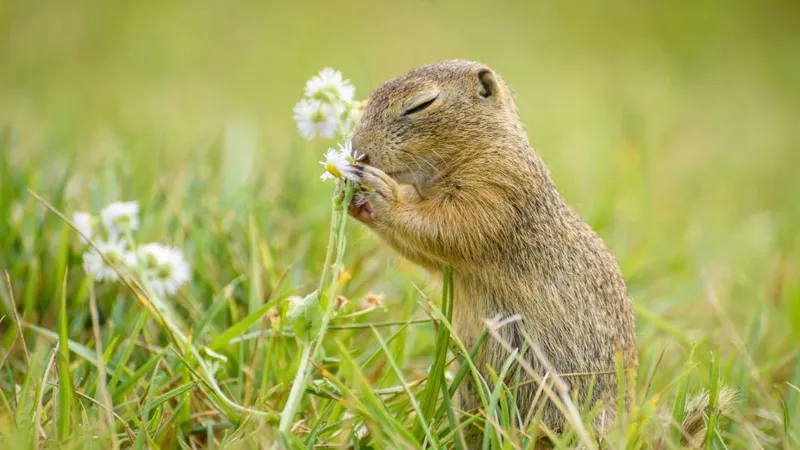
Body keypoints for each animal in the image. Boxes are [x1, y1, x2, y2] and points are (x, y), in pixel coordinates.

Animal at [344, 59, 712, 442]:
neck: (486, 146)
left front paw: (382, 193)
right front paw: (358, 201)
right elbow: (430, 252)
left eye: (421, 104)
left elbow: (450, 227)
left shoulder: (498, 187)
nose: (359, 149)